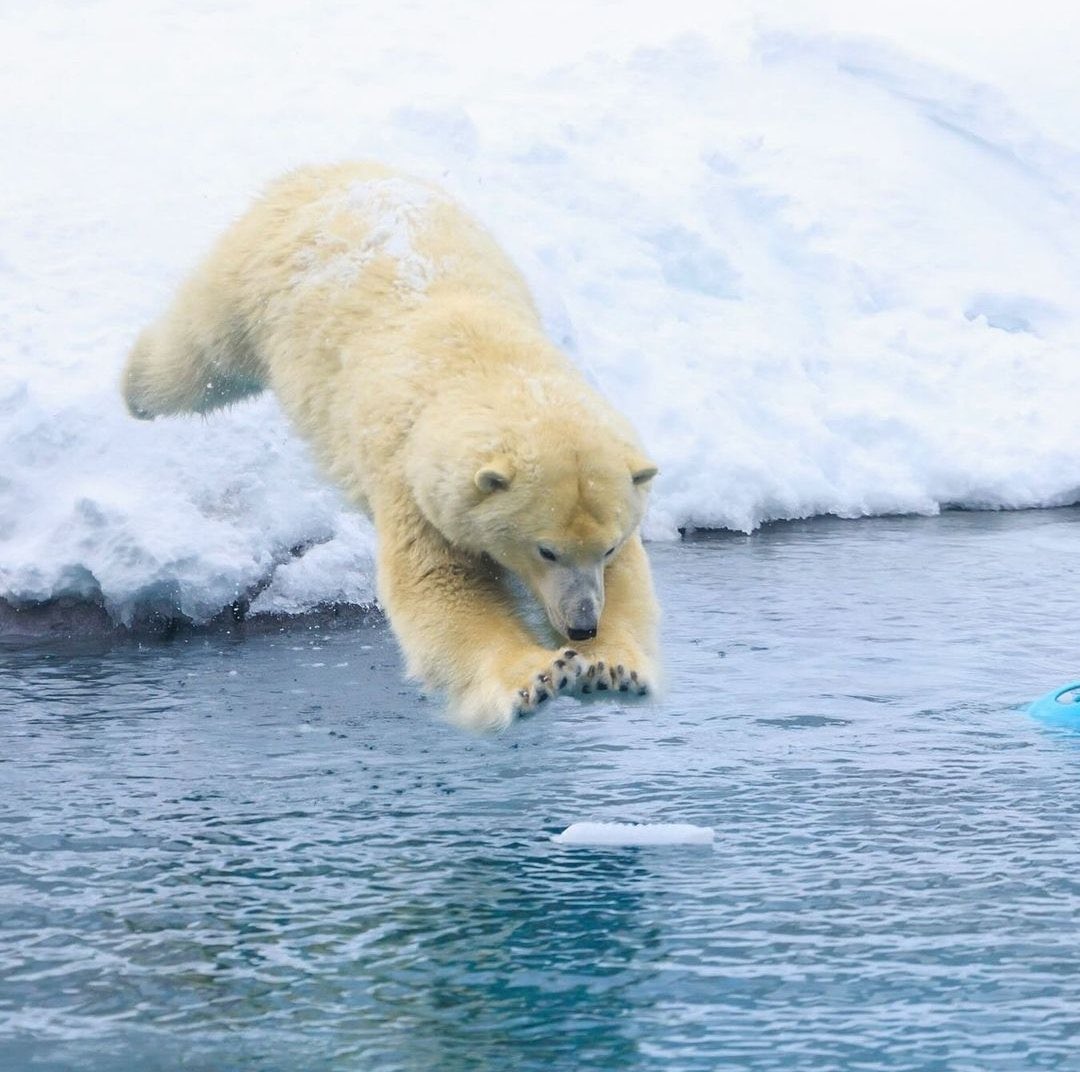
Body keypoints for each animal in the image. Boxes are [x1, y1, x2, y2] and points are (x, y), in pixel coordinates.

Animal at [122, 162, 659, 730]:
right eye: (546, 550)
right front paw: (536, 678)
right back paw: (133, 391)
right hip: (255, 280)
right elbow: (442, 590)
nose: (582, 625)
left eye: (608, 546)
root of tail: (326, 172)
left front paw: (613, 669)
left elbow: (629, 584)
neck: (485, 365)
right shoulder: (413, 480)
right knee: (197, 352)